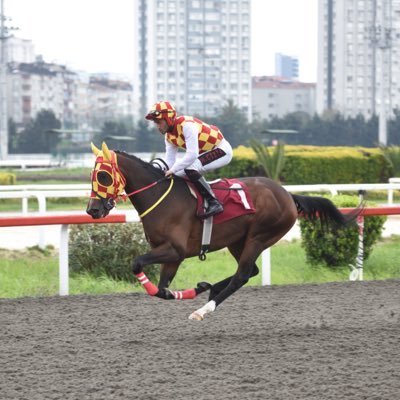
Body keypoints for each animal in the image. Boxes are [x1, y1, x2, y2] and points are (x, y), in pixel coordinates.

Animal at [86, 142, 356, 320]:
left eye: (103, 176)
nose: (92, 210)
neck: (162, 198)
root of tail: (288, 195)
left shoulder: (174, 250)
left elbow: (138, 265)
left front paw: (198, 292)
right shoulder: (172, 256)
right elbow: (162, 290)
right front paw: (199, 287)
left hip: (259, 237)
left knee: (242, 275)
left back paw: (203, 310)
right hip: (237, 241)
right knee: (250, 271)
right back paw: (212, 289)